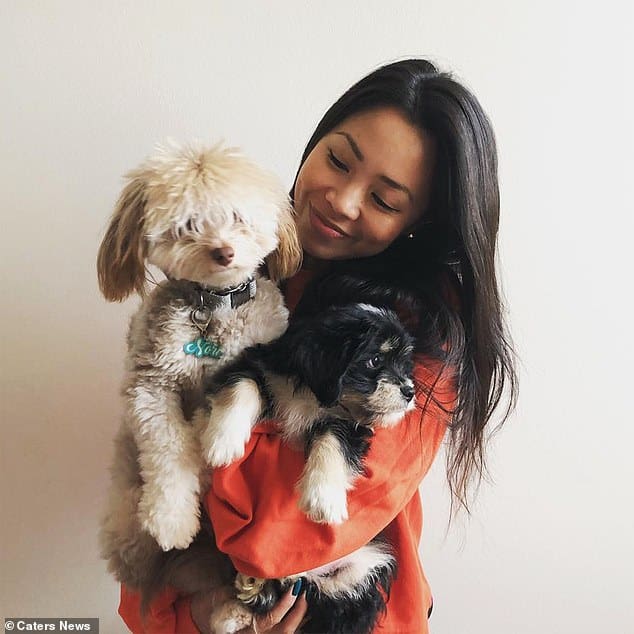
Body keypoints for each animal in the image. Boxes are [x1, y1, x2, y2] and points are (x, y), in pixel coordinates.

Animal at [97, 142, 301, 591]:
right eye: (187, 224)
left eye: (238, 216)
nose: (223, 252)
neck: (215, 306)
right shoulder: (150, 386)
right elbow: (171, 445)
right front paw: (171, 520)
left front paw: (216, 441)